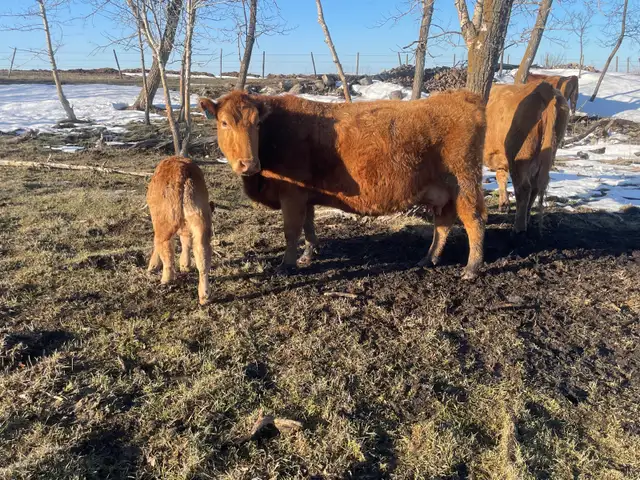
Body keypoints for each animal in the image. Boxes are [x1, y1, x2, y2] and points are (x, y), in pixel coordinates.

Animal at [147, 156, 213, 305]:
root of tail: (182, 170)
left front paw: (153, 266)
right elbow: (186, 241)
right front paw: (185, 265)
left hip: (164, 222)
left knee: (165, 248)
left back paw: (166, 279)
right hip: (200, 218)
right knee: (202, 252)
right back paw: (204, 296)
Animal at [199, 90, 487, 279]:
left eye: (257, 123)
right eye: (224, 123)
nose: (249, 164)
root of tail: (462, 96)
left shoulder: (291, 195)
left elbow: (291, 231)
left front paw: (287, 265)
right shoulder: (305, 195)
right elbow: (309, 226)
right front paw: (308, 255)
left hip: (464, 183)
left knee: (474, 221)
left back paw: (471, 268)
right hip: (445, 192)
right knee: (444, 224)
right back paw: (429, 258)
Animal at [484, 82, 570, 233]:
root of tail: (546, 89)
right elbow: (501, 177)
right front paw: (504, 204)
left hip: (519, 157)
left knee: (524, 188)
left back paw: (519, 227)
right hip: (546, 154)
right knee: (534, 187)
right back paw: (527, 218)